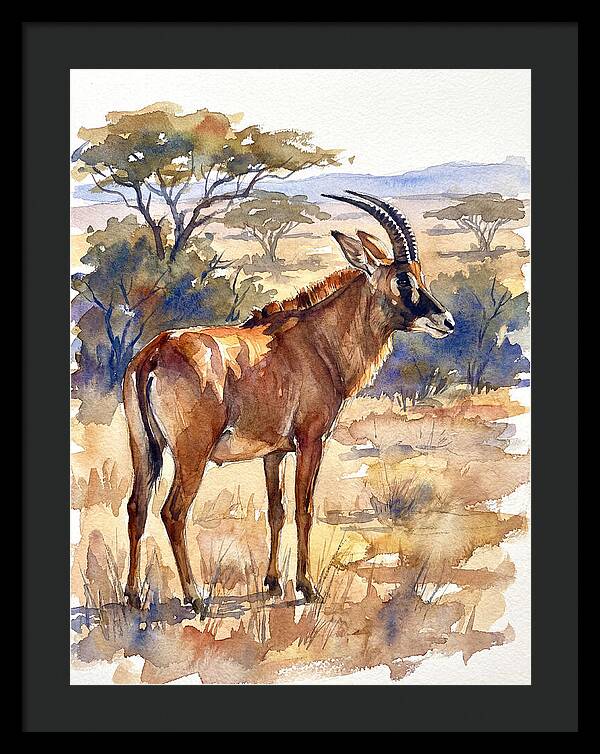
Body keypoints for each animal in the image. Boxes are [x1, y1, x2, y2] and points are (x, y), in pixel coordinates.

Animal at [123, 192, 454, 613]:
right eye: (402, 279)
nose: (446, 321)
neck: (317, 339)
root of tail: (153, 354)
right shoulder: (311, 441)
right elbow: (304, 509)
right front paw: (308, 587)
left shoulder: (274, 452)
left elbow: (276, 511)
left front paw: (272, 582)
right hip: (191, 453)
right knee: (173, 511)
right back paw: (195, 597)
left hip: (144, 448)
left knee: (137, 506)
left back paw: (133, 596)